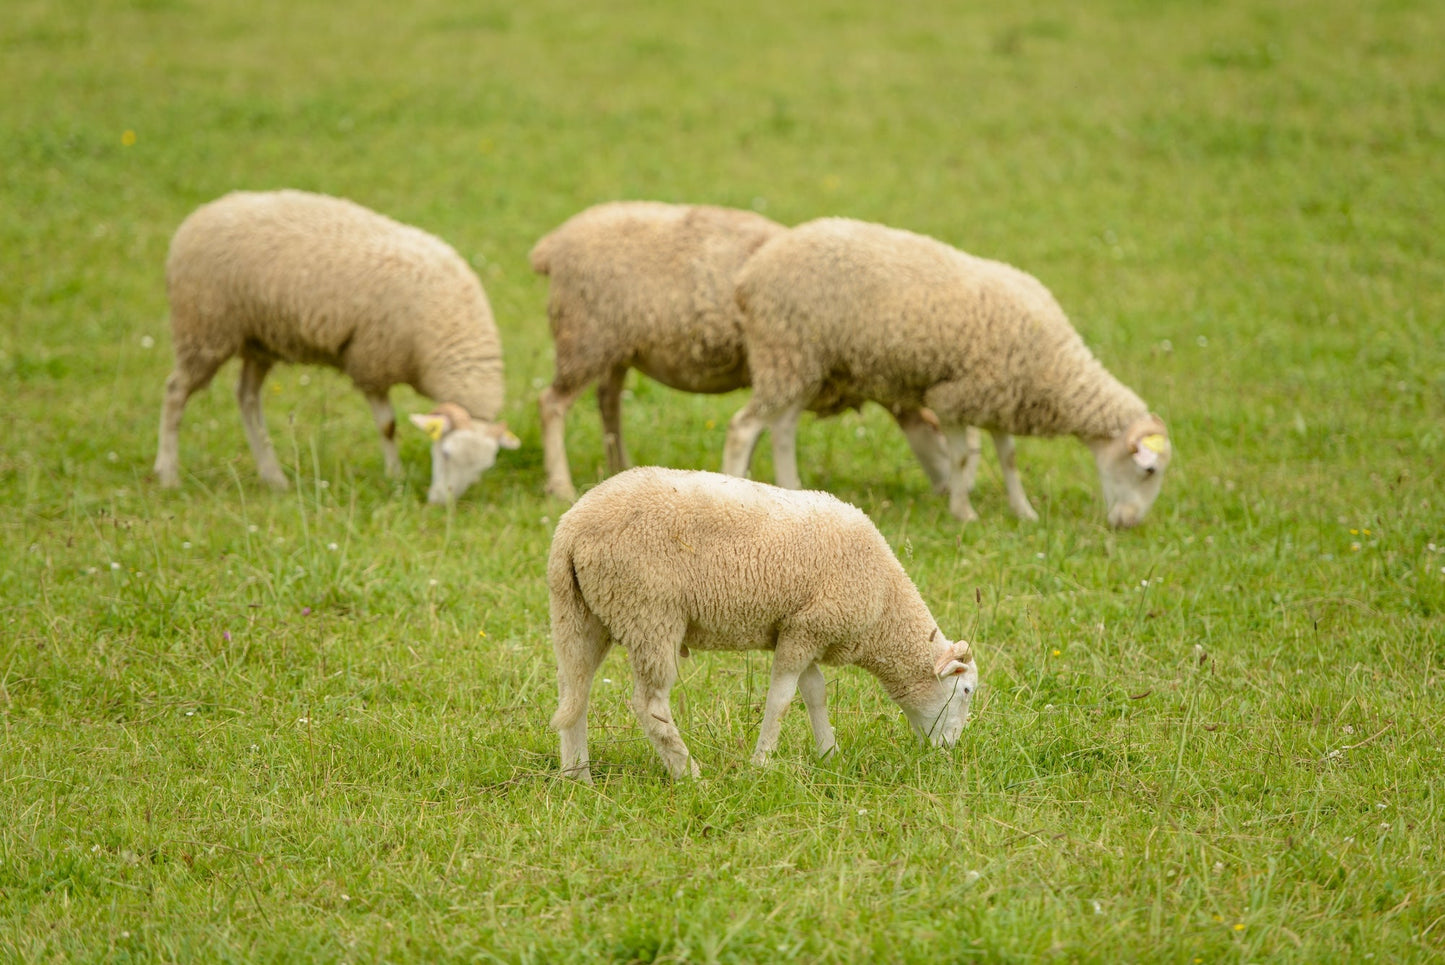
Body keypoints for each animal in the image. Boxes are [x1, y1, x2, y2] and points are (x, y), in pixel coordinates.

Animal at [156, 189, 520, 505]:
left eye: (484, 468)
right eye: (444, 452)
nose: (442, 504)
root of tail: (203, 213)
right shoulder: (371, 361)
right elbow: (388, 426)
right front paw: (395, 476)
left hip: (258, 340)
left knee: (247, 397)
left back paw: (274, 478)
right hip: (204, 329)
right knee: (176, 391)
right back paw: (168, 474)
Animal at [525, 205, 953, 505]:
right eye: (943, 437)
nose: (948, 493)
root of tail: (553, 246)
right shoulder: (784, 369)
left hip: (616, 346)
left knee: (607, 400)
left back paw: (619, 466)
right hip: (584, 337)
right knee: (551, 404)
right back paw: (561, 485)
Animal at [546, 462, 976, 780]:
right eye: (967, 691)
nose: (950, 752)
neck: (885, 607)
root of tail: (571, 528)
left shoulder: (802, 630)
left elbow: (814, 693)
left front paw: (829, 754)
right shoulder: (807, 628)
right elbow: (782, 700)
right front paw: (762, 763)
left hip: (580, 613)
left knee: (574, 693)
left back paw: (578, 777)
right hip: (648, 612)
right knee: (648, 704)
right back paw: (690, 774)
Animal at [722, 218, 1173, 528]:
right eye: (1148, 470)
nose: (1129, 523)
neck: (1055, 366)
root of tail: (750, 273)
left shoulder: (999, 400)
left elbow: (1009, 459)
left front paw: (1023, 511)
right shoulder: (955, 398)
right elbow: (960, 458)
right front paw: (963, 512)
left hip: (802, 362)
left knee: (783, 427)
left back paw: (791, 488)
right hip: (785, 350)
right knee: (744, 427)